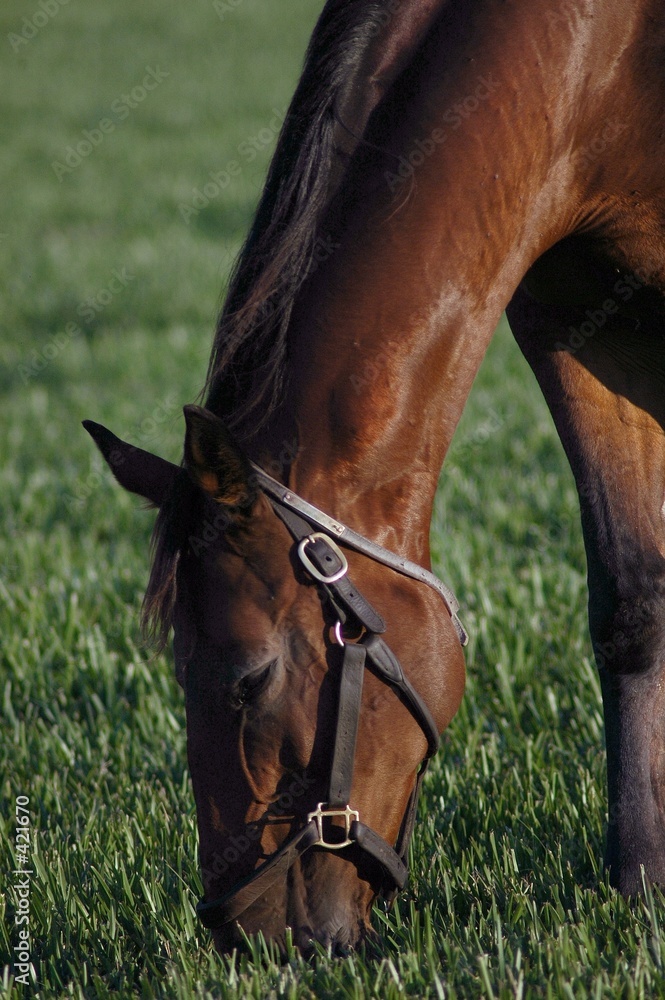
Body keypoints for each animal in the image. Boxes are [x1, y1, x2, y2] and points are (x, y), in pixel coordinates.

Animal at [84, 0, 665, 954]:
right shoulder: (572, 316)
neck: (596, 58)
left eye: (247, 678)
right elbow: (632, 602)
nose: (248, 935)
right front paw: (639, 880)